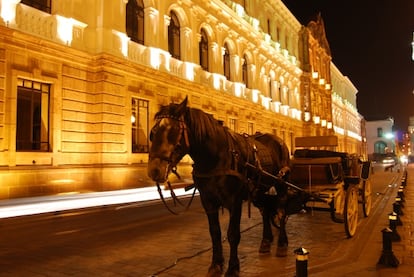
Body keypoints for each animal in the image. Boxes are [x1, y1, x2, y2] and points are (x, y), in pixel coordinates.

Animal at [148, 96, 292, 274]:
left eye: (173, 131)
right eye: (153, 133)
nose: (154, 170)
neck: (216, 158)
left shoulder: (234, 202)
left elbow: (233, 234)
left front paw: (233, 268)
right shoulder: (208, 201)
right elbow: (215, 233)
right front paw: (216, 264)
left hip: (281, 185)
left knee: (282, 211)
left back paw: (282, 244)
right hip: (260, 190)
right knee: (265, 211)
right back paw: (265, 241)